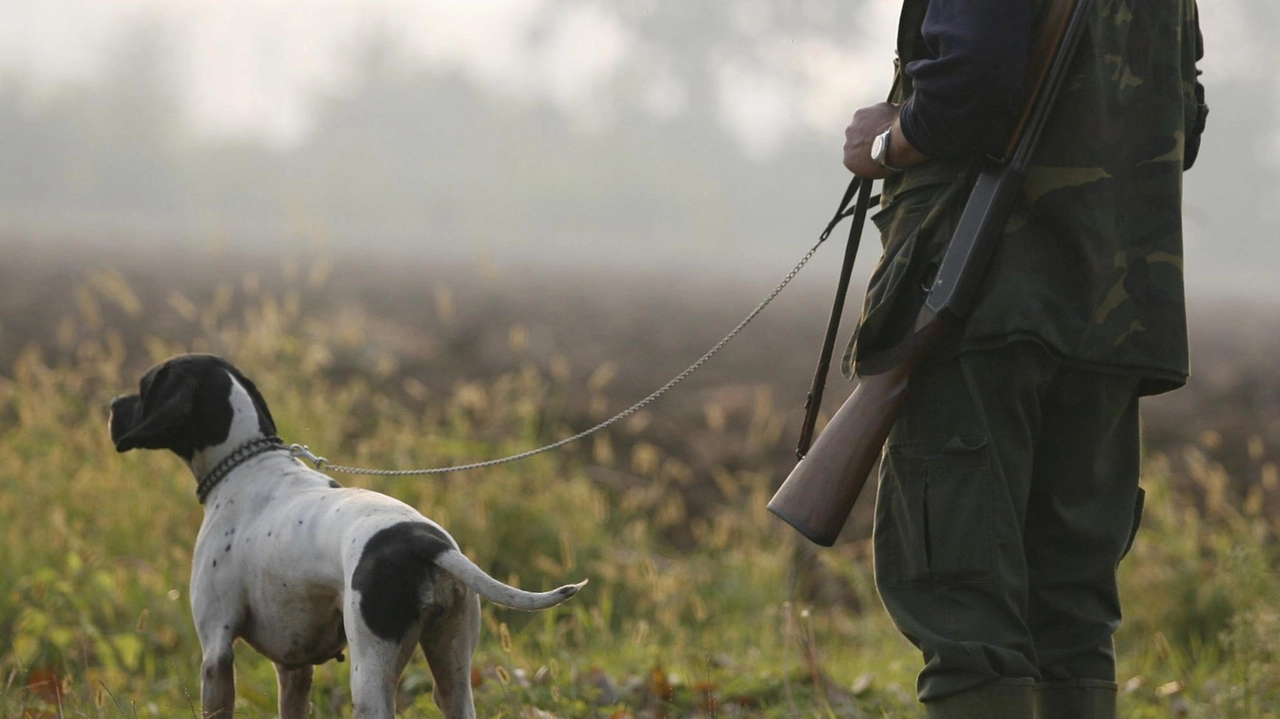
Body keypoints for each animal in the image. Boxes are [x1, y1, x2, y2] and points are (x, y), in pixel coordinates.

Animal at [108, 353, 586, 716]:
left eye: (145, 385)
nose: (112, 403)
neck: (246, 465)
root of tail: (426, 542)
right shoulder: (295, 668)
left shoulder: (216, 653)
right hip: (452, 670)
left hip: (371, 677)